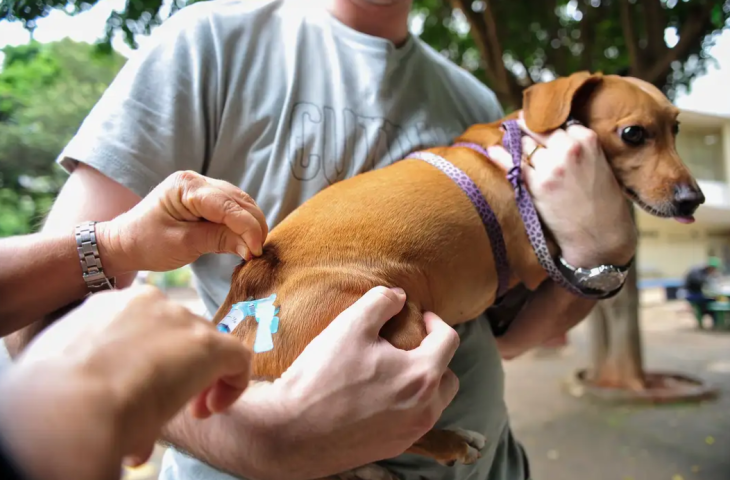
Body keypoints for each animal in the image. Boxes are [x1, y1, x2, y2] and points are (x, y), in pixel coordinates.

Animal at [212, 71, 704, 476]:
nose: (693, 199)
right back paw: (450, 442)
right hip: (402, 327)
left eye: (676, 129)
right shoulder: (537, 260)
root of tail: (252, 285)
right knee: (389, 435)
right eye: (633, 133)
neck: (515, 148)